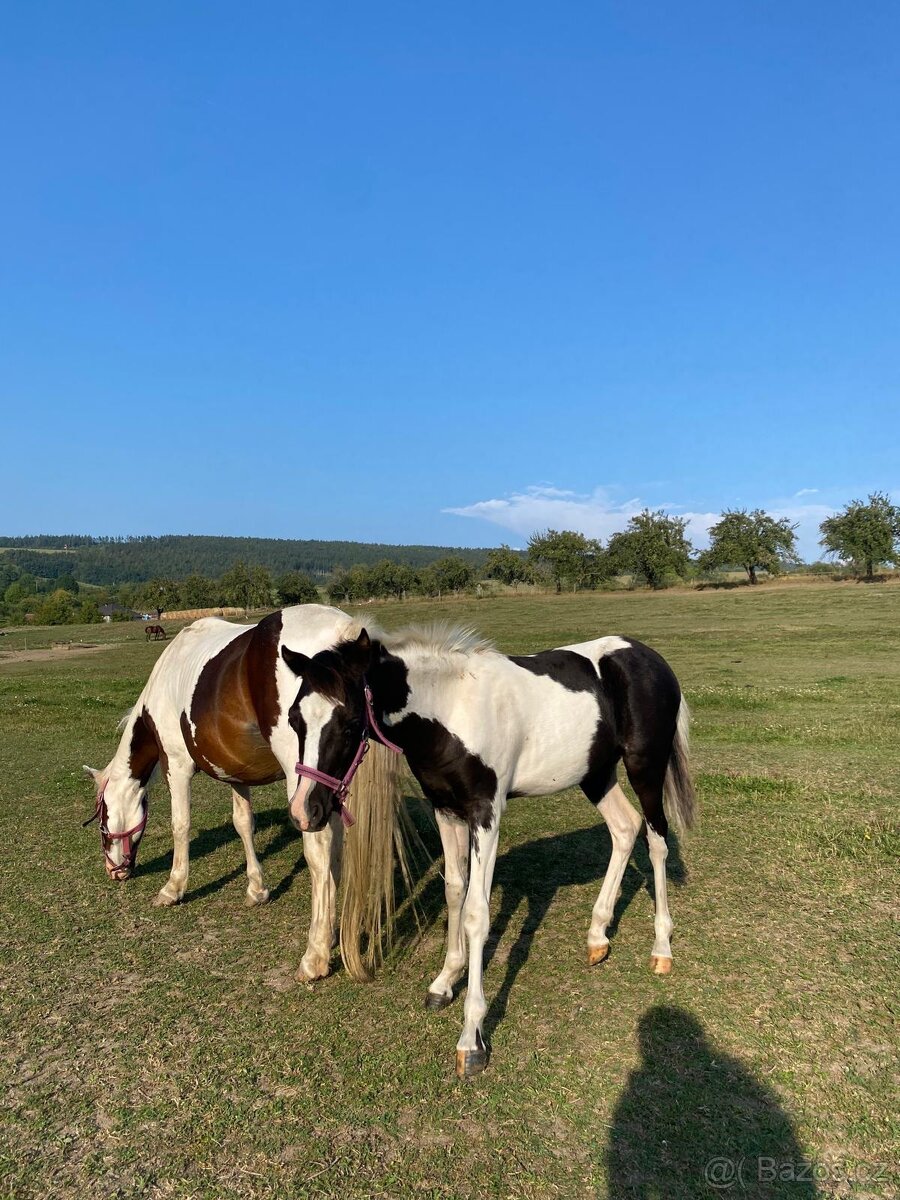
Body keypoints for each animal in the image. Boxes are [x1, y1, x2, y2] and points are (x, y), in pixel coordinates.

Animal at [82, 604, 402, 981]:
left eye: (102, 821)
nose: (115, 871)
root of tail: (344, 630)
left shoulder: (176, 765)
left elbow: (181, 825)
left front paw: (173, 887)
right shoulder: (237, 773)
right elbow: (243, 823)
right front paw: (257, 889)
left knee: (319, 850)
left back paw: (315, 955)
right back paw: (328, 929)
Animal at [280, 622, 696, 1076]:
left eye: (351, 721)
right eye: (294, 719)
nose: (305, 812)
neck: (451, 708)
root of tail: (650, 657)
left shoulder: (487, 814)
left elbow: (477, 913)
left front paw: (472, 1038)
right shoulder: (446, 810)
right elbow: (454, 891)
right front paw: (444, 982)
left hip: (645, 767)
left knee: (656, 840)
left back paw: (661, 948)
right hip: (596, 772)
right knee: (624, 829)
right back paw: (597, 937)